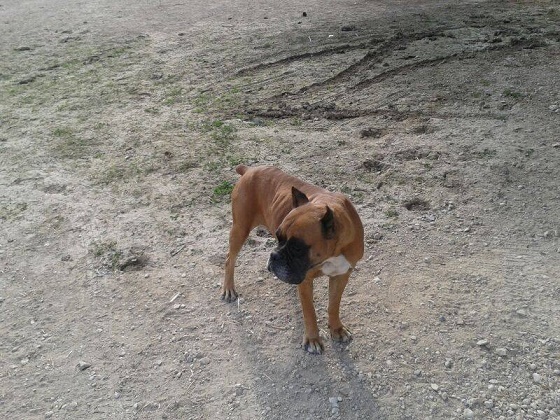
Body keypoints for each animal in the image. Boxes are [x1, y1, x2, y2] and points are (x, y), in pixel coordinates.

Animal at [222, 165, 364, 354]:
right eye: (279, 236)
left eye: (297, 247)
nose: (274, 256)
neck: (331, 253)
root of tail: (250, 169)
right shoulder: (306, 281)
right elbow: (309, 311)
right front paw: (312, 339)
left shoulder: (341, 275)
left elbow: (334, 305)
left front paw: (336, 329)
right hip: (240, 229)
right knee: (229, 260)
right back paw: (228, 288)